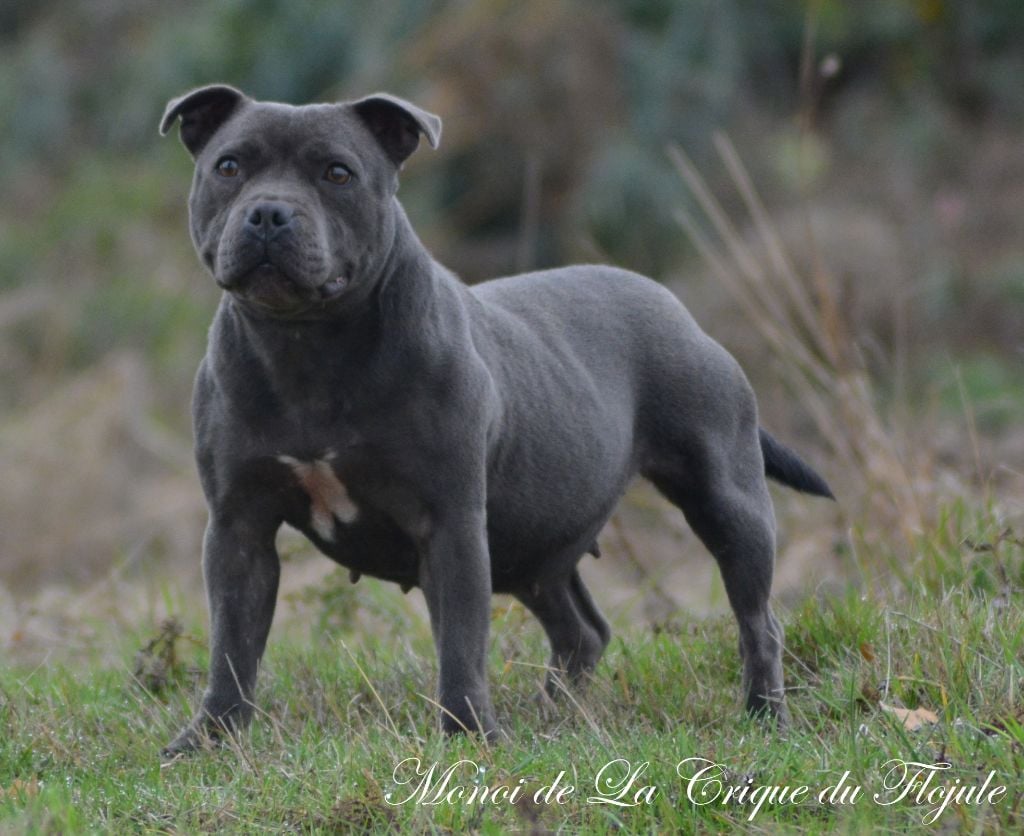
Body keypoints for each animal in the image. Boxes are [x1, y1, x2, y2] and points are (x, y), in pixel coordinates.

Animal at [158, 85, 833, 755]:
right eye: (228, 166)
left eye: (337, 173)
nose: (269, 213)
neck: (305, 345)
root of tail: (677, 308)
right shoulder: (239, 529)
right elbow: (232, 646)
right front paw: (209, 737)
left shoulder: (451, 523)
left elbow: (461, 641)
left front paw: (467, 733)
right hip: (537, 547)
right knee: (582, 631)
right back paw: (553, 716)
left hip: (727, 503)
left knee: (757, 620)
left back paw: (765, 717)